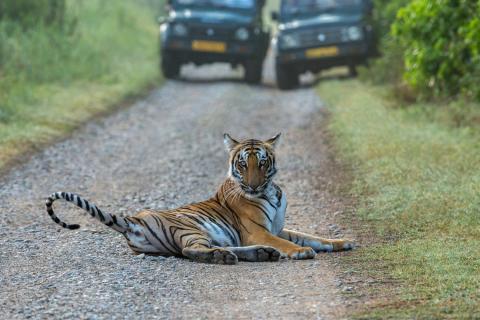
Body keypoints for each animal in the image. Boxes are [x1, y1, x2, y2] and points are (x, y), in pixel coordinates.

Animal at [45, 134, 354, 264]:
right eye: (243, 164)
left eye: (263, 163)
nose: (253, 185)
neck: (271, 191)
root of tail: (134, 219)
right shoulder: (257, 231)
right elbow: (292, 243)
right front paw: (301, 251)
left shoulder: (278, 228)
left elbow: (312, 236)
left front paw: (342, 242)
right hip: (191, 228)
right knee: (190, 251)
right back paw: (229, 257)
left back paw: (259, 254)